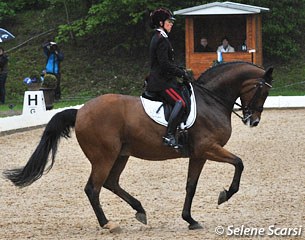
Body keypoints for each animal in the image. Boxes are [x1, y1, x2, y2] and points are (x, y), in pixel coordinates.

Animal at [2, 61, 274, 232]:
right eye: (261, 91)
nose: (253, 120)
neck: (211, 100)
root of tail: (80, 111)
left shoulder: (198, 155)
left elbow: (191, 187)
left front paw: (190, 219)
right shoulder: (209, 148)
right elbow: (239, 163)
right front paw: (225, 195)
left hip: (120, 155)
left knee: (111, 183)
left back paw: (140, 210)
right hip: (103, 157)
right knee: (93, 188)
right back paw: (109, 224)